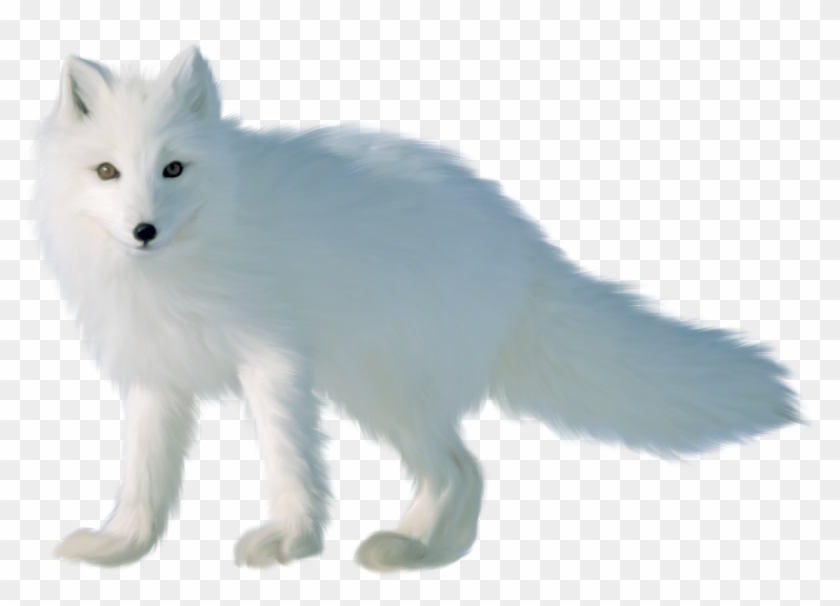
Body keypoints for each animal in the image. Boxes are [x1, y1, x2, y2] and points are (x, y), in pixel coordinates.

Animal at [36, 47, 799, 571]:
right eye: (107, 172)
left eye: (173, 168)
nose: (144, 230)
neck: (188, 256)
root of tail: (520, 239)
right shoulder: (156, 375)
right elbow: (144, 474)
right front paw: (122, 545)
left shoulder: (275, 360)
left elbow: (289, 459)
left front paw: (291, 540)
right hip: (379, 389)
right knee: (464, 471)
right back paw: (423, 551)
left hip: (377, 384)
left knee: (462, 469)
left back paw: (413, 552)